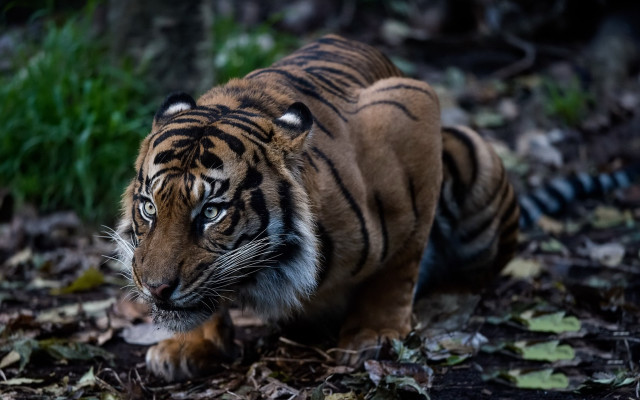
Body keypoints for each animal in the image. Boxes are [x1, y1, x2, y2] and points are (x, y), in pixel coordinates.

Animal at [113, 34, 519, 382]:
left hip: (470, 154)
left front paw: (375, 335)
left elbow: (401, 263)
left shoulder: (411, 112)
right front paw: (190, 345)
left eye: (211, 212)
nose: (156, 290)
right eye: (149, 208)